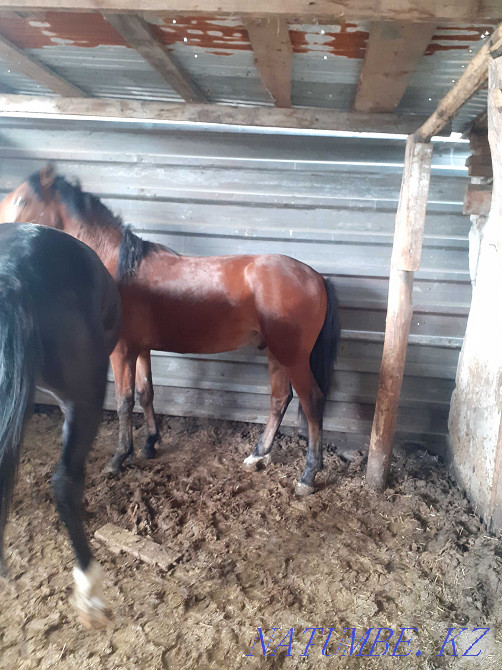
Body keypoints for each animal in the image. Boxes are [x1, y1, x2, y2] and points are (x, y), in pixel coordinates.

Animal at [0, 166, 340, 496]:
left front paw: (119, 457)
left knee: (311, 401)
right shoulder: (141, 349)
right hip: (274, 352)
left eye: (22, 200)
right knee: (279, 399)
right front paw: (149, 445)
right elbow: (146, 392)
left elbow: (124, 401)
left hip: (292, 356)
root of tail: (315, 277)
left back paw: (308, 476)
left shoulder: (121, 351)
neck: (119, 268)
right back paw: (257, 455)